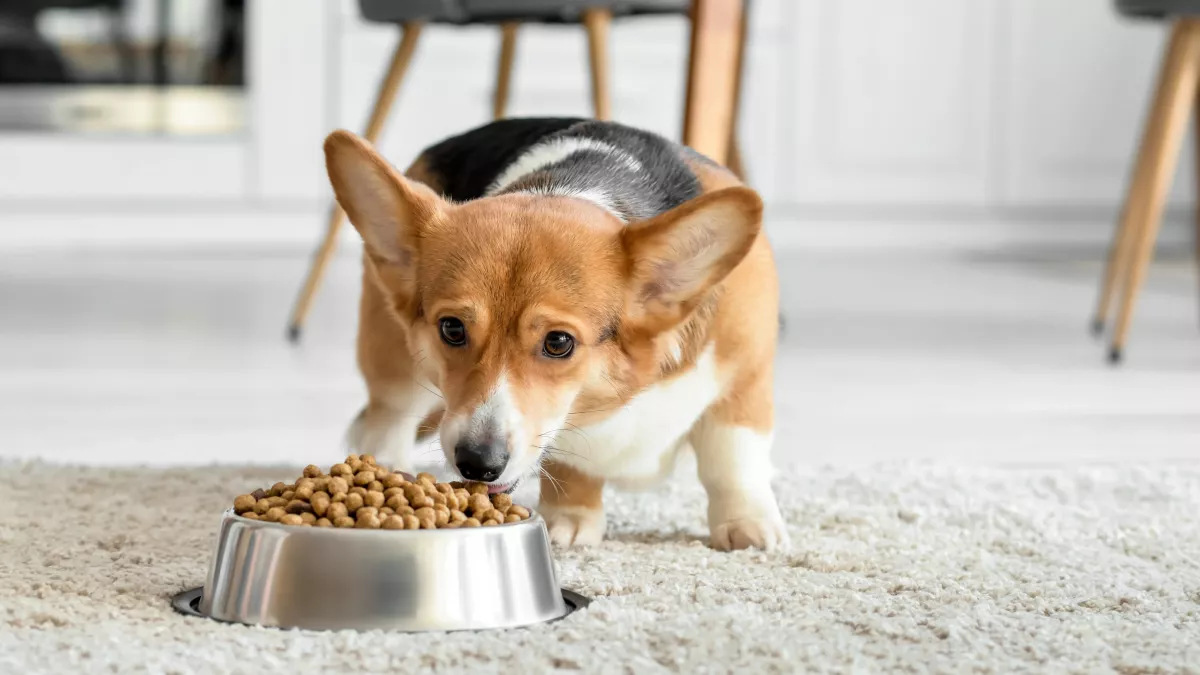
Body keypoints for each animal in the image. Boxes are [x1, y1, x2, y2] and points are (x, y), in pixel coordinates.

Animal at [324, 118, 787, 550]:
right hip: (396, 362)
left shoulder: (746, 381)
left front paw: (747, 525)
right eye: (452, 328)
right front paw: (571, 519)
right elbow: (572, 461)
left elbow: (732, 457)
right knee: (389, 417)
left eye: (558, 342)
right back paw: (385, 468)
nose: (478, 464)